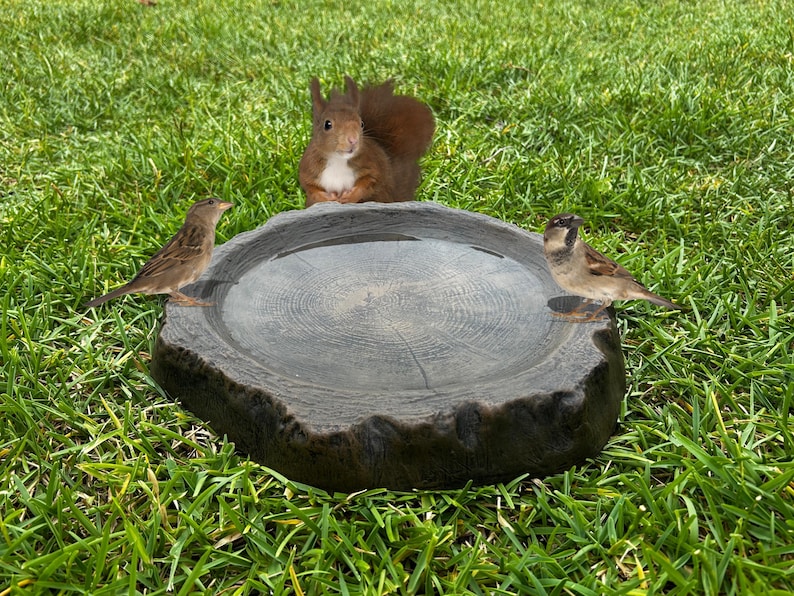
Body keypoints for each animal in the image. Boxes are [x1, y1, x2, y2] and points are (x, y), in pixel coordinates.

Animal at [299, 75, 435, 207]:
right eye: (327, 124)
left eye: (362, 124)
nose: (353, 140)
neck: (338, 160)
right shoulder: (308, 168)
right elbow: (309, 186)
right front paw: (327, 198)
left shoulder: (372, 164)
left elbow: (370, 181)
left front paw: (351, 196)